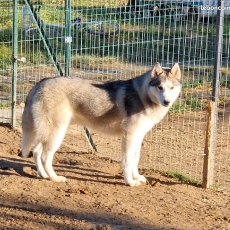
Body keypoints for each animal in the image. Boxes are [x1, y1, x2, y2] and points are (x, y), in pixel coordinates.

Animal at [22, 62, 182, 187]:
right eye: (160, 87)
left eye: (171, 88)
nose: (166, 102)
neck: (142, 95)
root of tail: (40, 83)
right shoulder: (129, 136)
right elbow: (127, 161)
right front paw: (130, 182)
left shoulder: (138, 136)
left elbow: (135, 159)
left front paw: (137, 177)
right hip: (57, 134)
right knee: (45, 157)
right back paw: (55, 178)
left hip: (47, 134)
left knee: (36, 151)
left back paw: (43, 175)